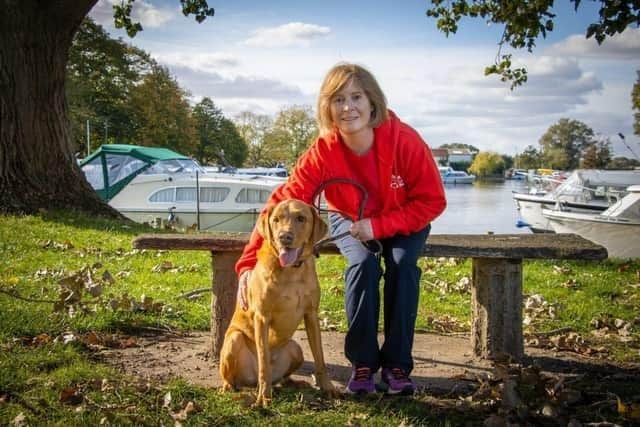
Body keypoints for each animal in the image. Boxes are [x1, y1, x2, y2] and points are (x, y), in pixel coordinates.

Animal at [220, 199, 338, 406]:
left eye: (301, 218)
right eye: (276, 220)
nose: (285, 237)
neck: (292, 271)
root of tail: (249, 382)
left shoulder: (311, 314)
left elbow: (320, 359)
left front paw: (327, 387)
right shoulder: (262, 317)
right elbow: (263, 362)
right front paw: (264, 397)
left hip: (295, 349)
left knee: (283, 376)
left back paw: (292, 382)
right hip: (234, 340)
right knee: (233, 377)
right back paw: (232, 387)